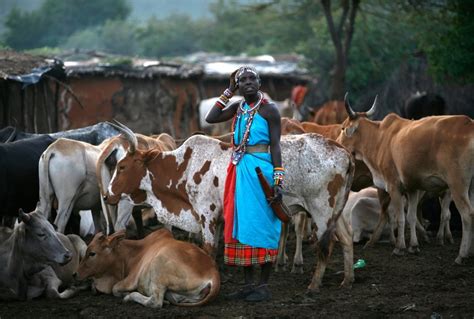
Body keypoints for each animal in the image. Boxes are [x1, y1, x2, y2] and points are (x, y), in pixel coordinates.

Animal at [76, 229, 220, 308]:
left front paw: (126, 294)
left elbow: (115, 289)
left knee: (155, 302)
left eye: (92, 253)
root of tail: (213, 272)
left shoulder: (131, 279)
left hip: (158, 265)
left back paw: (131, 296)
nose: (75, 274)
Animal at [104, 124, 356, 294]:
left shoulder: (206, 215)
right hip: (337, 212)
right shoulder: (216, 218)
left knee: (325, 246)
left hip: (321, 210)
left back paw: (314, 285)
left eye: (122, 166)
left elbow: (208, 249)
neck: (185, 167)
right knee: (346, 239)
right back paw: (347, 279)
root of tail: (344, 153)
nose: (107, 195)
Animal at [336, 94, 474, 264]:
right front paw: (413, 246)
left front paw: (399, 248)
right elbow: (411, 217)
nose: (336, 144)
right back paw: (470, 251)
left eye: (343, 128)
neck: (380, 138)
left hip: (457, 186)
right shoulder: (412, 188)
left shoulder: (394, 186)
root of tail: (469, 125)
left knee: (467, 215)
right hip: (470, 187)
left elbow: (400, 218)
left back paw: (462, 255)